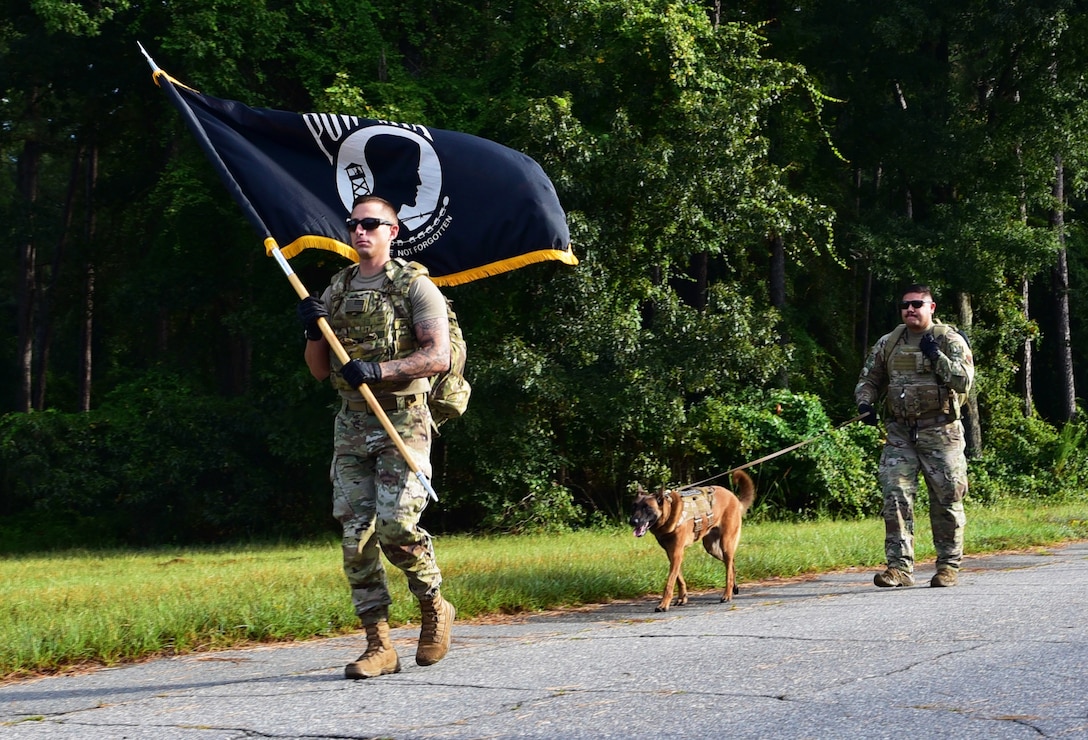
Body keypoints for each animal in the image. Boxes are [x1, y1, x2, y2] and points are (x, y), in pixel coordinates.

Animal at [631, 470, 757, 609]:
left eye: (647, 507)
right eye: (634, 506)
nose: (632, 522)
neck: (669, 513)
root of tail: (734, 498)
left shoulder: (677, 553)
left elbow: (670, 582)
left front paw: (664, 604)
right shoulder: (672, 554)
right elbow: (679, 578)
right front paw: (682, 598)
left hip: (726, 544)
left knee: (728, 569)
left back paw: (727, 594)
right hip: (711, 548)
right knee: (731, 563)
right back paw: (734, 587)